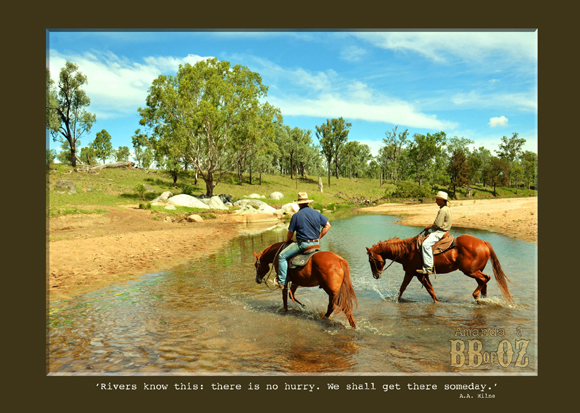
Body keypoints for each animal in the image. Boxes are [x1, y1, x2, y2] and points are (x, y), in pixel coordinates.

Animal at [366, 233, 514, 305]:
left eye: (371, 260)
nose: (376, 275)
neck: (407, 251)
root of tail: (483, 242)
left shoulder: (414, 273)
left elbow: (406, 288)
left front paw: (395, 301)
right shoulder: (418, 274)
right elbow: (429, 289)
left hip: (470, 271)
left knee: (485, 279)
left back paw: (476, 296)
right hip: (476, 271)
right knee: (483, 282)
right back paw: (481, 300)